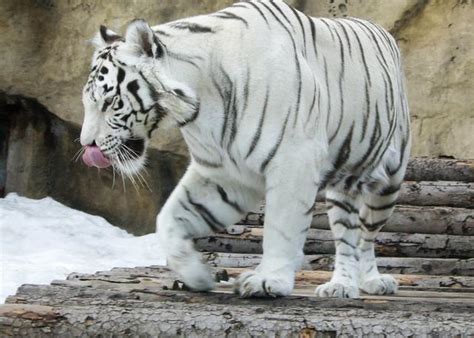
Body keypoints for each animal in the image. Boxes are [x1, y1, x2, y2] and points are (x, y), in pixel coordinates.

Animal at [79, 0, 410, 298]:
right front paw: (197, 275)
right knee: (347, 238)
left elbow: (281, 227)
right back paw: (340, 285)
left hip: (388, 183)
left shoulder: (294, 160)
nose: (86, 145)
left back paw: (371, 282)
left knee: (366, 237)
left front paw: (269, 281)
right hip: (343, 189)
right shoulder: (224, 174)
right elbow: (169, 219)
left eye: (109, 102)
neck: (200, 104)